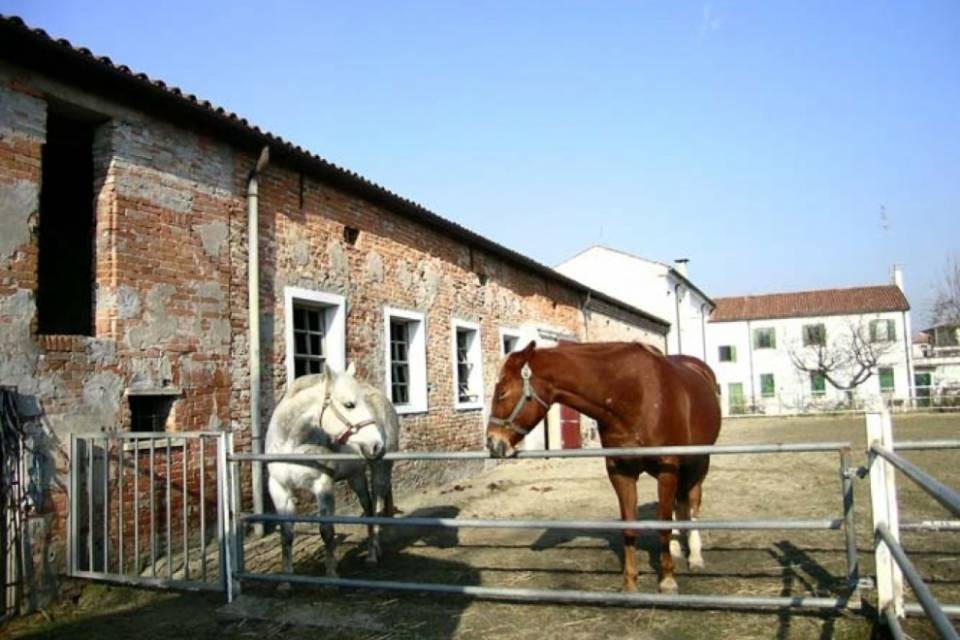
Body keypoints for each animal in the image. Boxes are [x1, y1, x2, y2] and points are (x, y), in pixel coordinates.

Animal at [266, 362, 398, 577]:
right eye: (349, 405)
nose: (377, 445)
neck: (292, 443)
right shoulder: (279, 488)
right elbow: (286, 534)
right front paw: (286, 579)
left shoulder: (323, 485)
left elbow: (327, 531)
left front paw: (331, 574)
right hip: (356, 476)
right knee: (368, 507)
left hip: (380, 470)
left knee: (377, 507)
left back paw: (372, 555)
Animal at [485, 341, 721, 594]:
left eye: (502, 393)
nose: (492, 442)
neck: (634, 393)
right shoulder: (620, 471)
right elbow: (630, 527)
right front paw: (630, 583)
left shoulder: (668, 467)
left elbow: (664, 525)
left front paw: (667, 580)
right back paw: (677, 550)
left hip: (699, 462)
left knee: (693, 502)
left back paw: (695, 557)